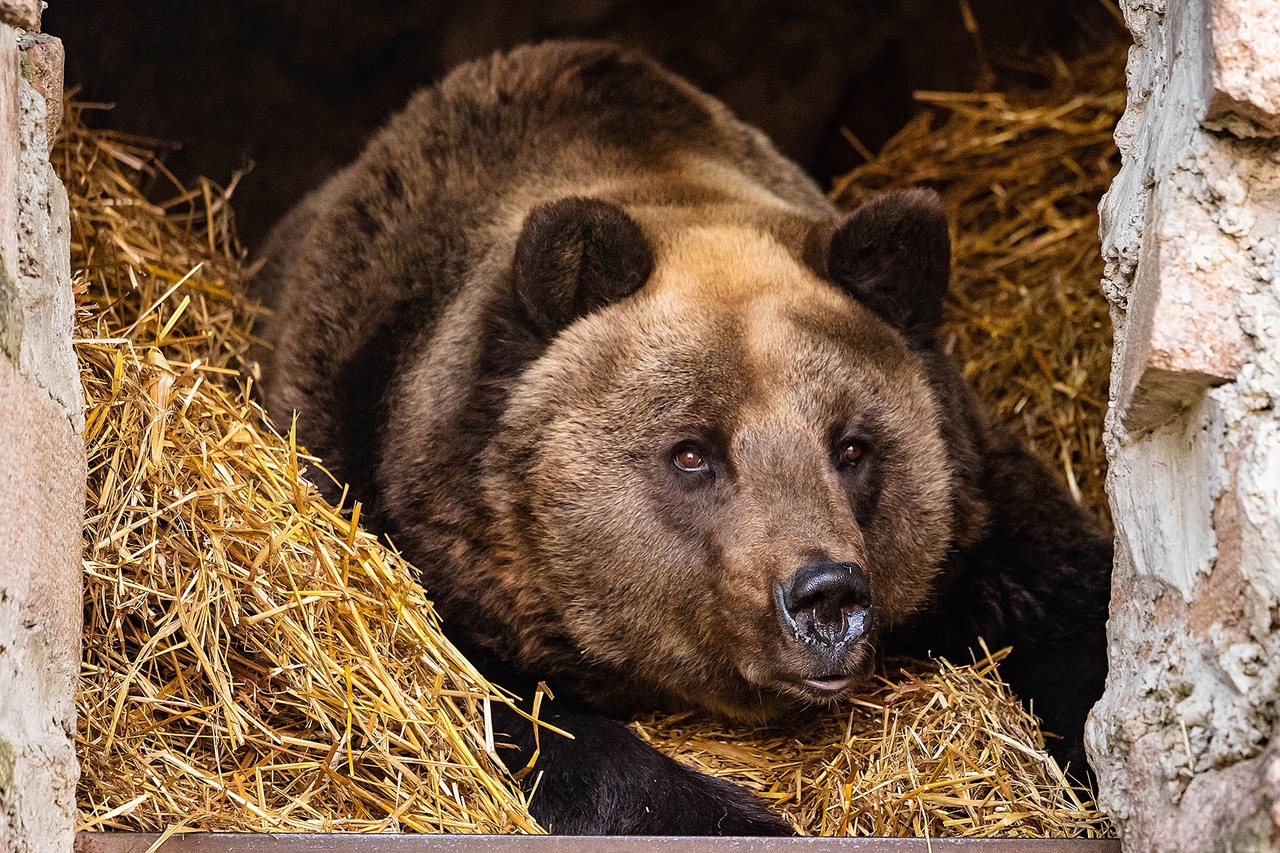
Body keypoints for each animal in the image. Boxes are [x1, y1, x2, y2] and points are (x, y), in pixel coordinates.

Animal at [254, 38, 1116, 829]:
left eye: (852, 445)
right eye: (693, 450)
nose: (826, 598)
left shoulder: (980, 508)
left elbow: (1074, 606)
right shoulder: (417, 519)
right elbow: (510, 713)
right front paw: (740, 815)